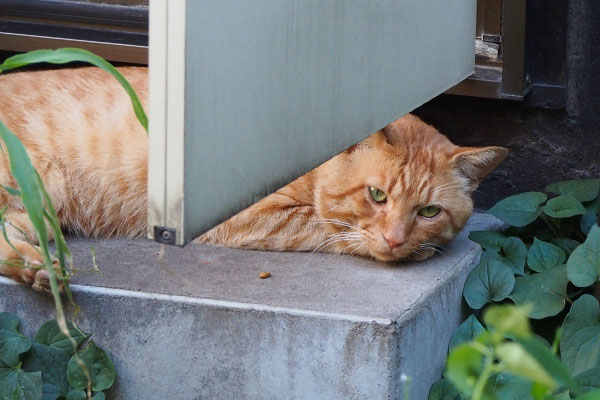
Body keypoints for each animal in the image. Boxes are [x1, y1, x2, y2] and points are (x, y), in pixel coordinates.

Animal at [0, 66, 506, 290]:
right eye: (376, 195)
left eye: (429, 211)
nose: (397, 239)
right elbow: (327, 227)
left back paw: (41, 270)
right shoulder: (245, 215)